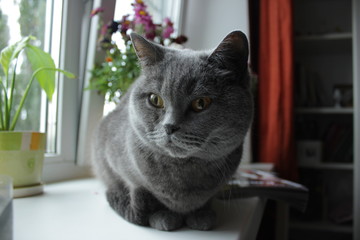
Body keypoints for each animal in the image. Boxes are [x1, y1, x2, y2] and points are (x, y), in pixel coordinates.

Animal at [93, 30, 253, 231]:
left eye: (201, 103)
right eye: (155, 99)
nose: (169, 126)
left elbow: (205, 201)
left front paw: (201, 215)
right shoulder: (111, 159)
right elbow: (139, 196)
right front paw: (163, 216)